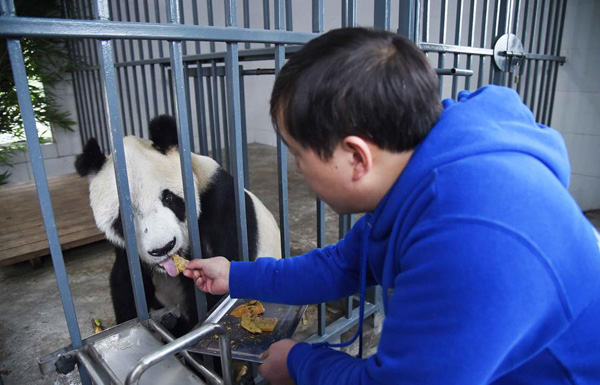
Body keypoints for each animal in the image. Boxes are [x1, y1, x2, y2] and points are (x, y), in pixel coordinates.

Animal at [75, 115, 282, 336]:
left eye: (168, 198)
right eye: (124, 216)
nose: (163, 248)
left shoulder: (222, 206)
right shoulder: (126, 250)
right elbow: (125, 282)